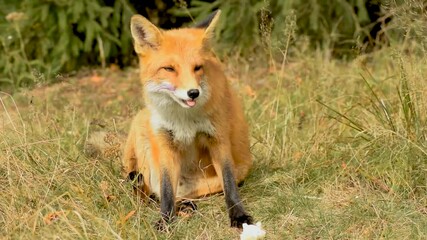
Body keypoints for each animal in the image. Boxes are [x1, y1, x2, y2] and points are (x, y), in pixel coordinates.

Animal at [122, 10, 254, 230]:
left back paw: (185, 205)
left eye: (197, 68)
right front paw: (166, 220)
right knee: (150, 189)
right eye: (169, 69)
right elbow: (167, 190)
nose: (193, 93)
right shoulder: (165, 142)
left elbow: (229, 184)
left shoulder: (217, 138)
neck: (183, 120)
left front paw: (238, 215)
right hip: (141, 124)